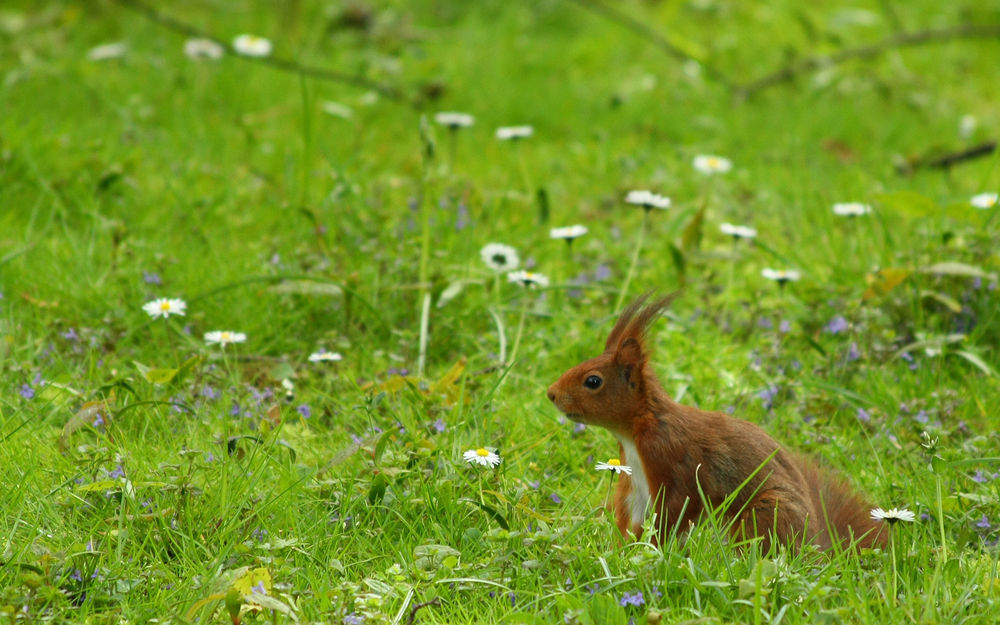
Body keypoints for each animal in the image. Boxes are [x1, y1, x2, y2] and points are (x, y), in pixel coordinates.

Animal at [546, 293, 886, 552]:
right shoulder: (634, 480)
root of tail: (816, 546)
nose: (551, 394)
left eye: (593, 381)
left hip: (765, 512)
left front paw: (651, 552)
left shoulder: (673, 459)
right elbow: (632, 515)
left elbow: (676, 509)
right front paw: (621, 552)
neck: (639, 429)